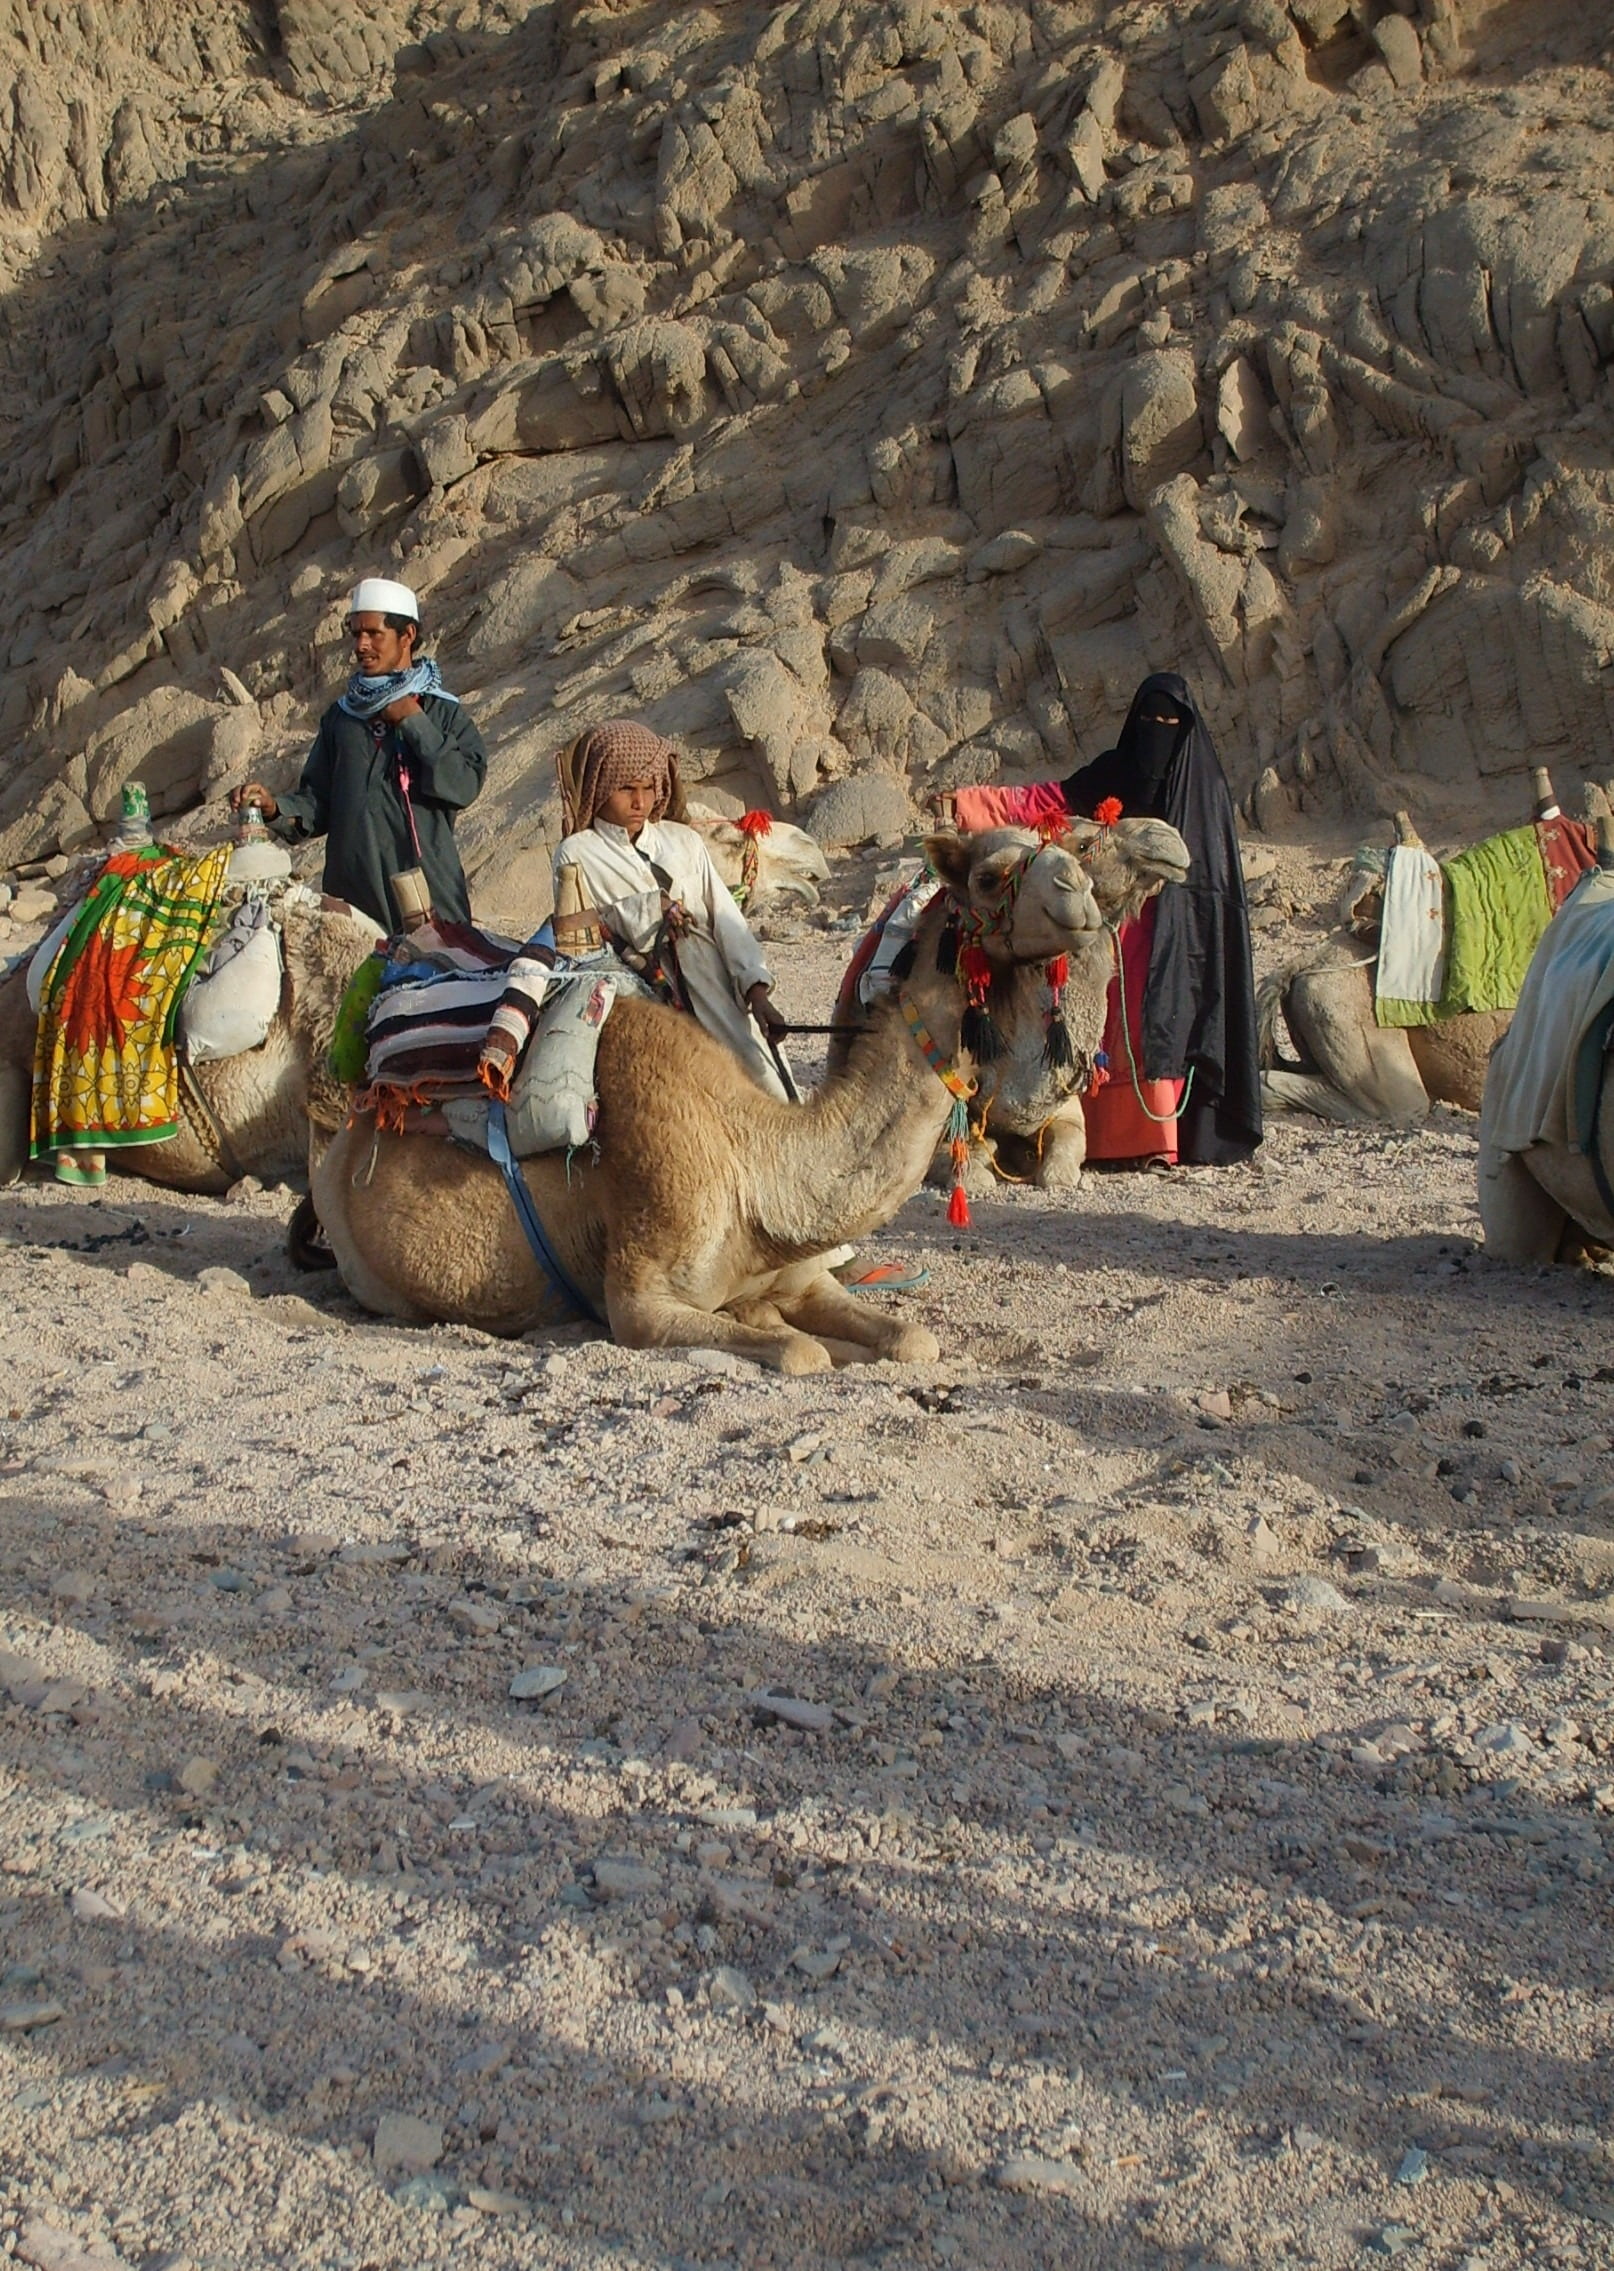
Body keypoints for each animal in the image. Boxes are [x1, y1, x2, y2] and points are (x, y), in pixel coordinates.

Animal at [312, 827, 1123, 1371]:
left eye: (1064, 847)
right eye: (990, 874)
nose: (1082, 893)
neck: (757, 1168)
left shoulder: (800, 1271)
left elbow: (910, 1337)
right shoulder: (640, 1302)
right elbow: (799, 1354)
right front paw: (786, 1334)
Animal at [828, 816, 1191, 1191]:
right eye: (987, 879)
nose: (1162, 835)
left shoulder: (1065, 1111)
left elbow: (1063, 1159)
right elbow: (961, 1159)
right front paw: (980, 1165)